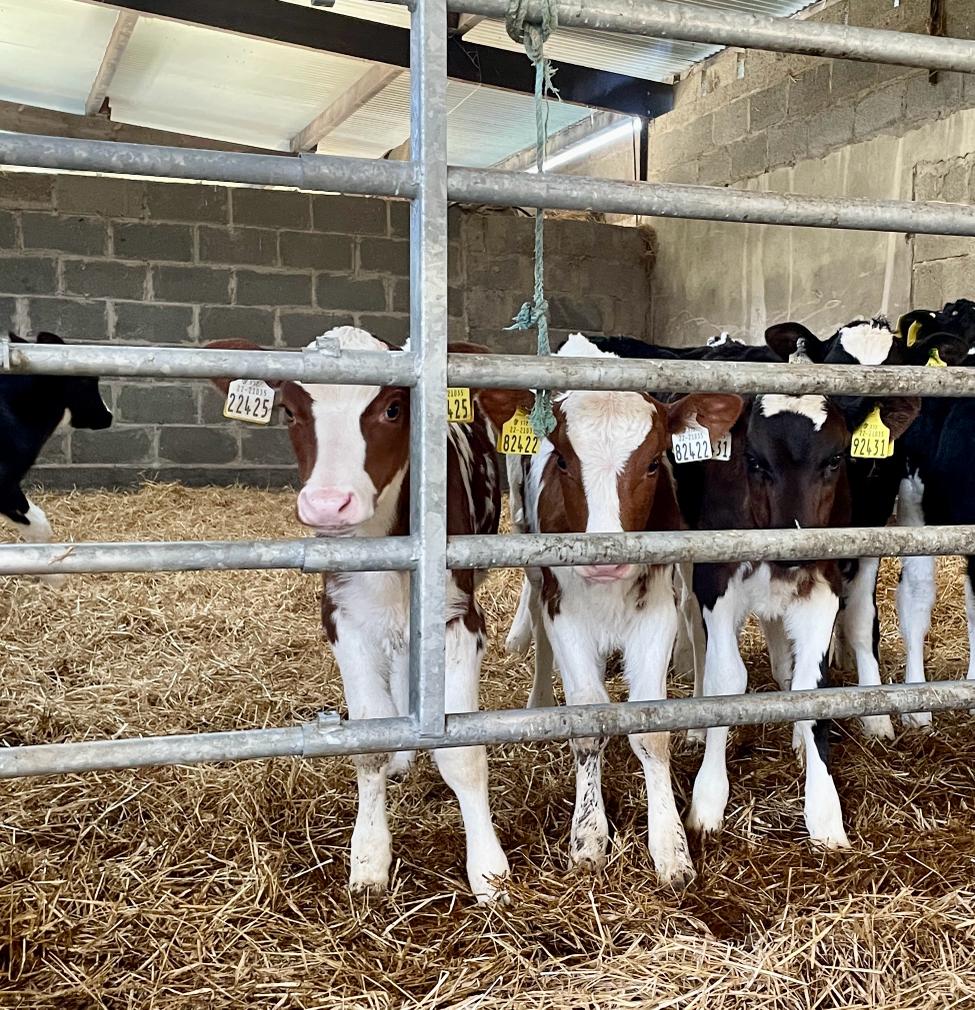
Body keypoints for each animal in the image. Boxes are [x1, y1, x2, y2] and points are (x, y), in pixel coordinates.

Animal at [207, 327, 509, 904]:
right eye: (289, 411)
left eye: (393, 408)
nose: (328, 505)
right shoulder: (342, 619)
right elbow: (368, 743)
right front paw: (369, 858)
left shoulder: (460, 620)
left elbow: (463, 754)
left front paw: (488, 869)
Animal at [477, 332, 742, 884]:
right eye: (562, 461)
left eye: (653, 462)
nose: (604, 559)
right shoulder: (563, 612)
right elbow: (586, 721)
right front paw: (589, 836)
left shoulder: (657, 611)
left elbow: (651, 731)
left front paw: (670, 845)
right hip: (527, 546)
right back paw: (538, 701)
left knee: (697, 623)